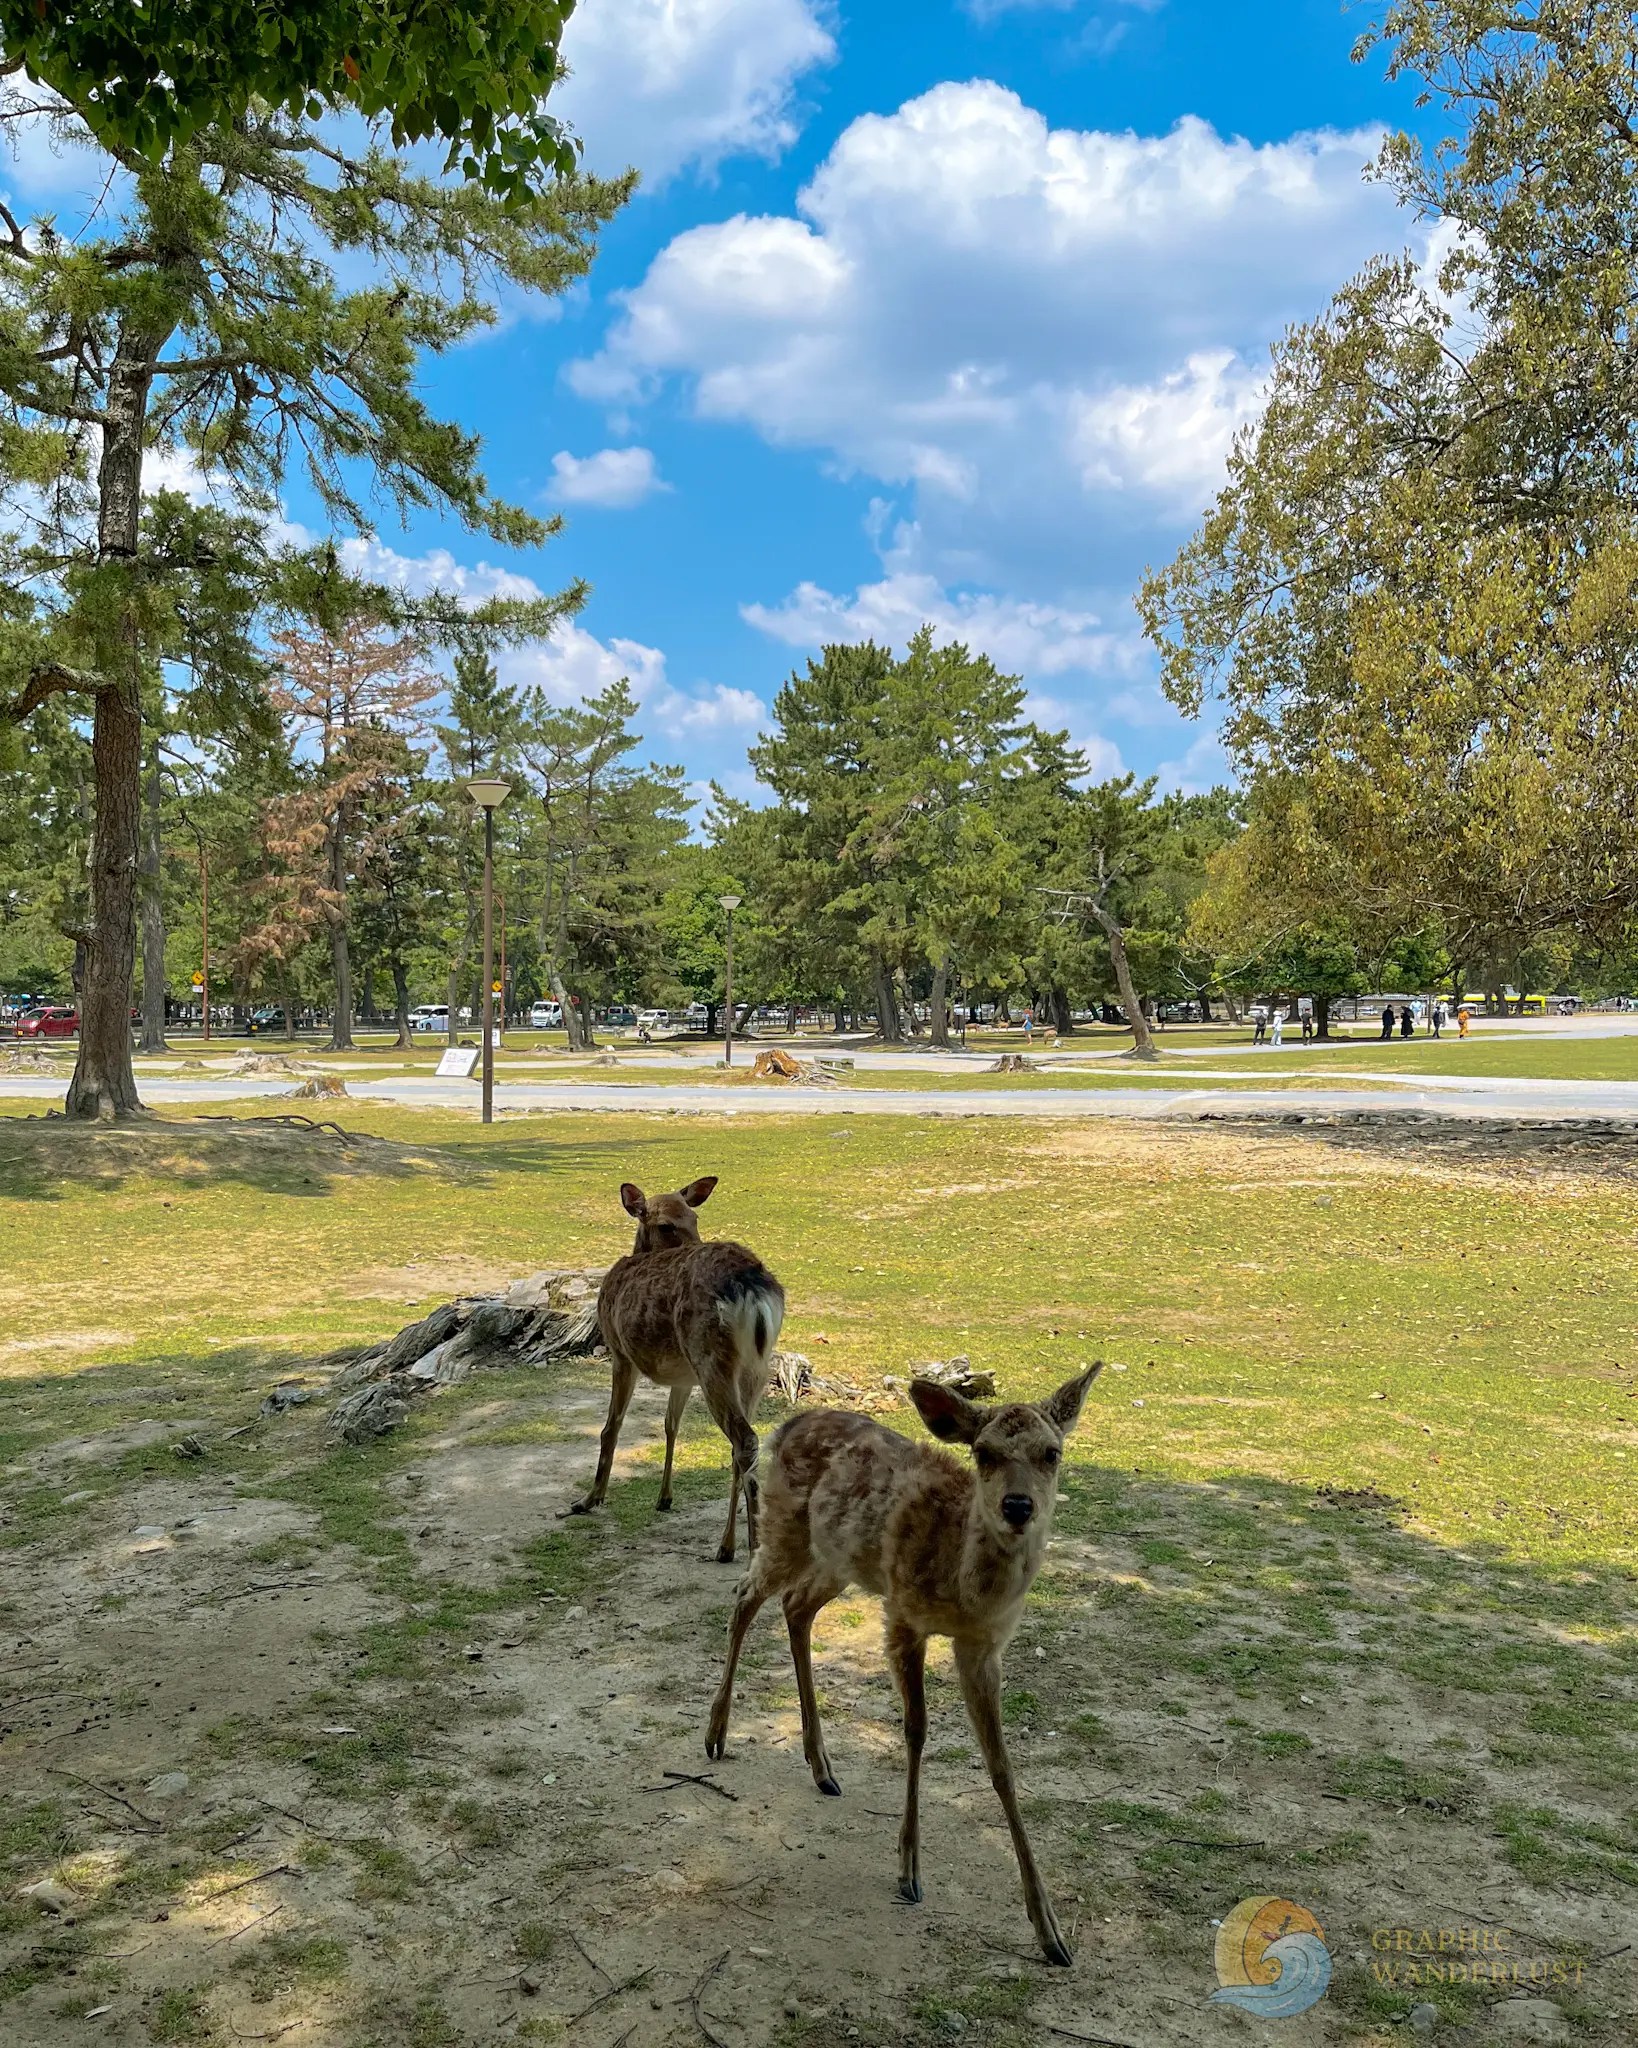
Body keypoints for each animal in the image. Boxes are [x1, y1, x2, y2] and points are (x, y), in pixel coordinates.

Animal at [570, 1176, 785, 1563]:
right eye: (668, 1225)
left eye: (694, 1219)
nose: (697, 1240)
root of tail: (753, 1287)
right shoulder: (683, 1376)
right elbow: (671, 1424)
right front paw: (664, 1497)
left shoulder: (620, 1352)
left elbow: (611, 1427)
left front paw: (589, 1498)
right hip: (754, 1368)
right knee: (741, 1444)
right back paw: (726, 1546)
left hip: (710, 1357)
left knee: (745, 1439)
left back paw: (751, 1551)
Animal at [705, 1362, 1102, 1966]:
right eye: (983, 1453)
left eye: (1051, 1453)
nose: (1017, 1507)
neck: (962, 1586)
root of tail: (788, 1423)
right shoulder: (904, 1614)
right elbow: (915, 1730)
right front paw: (909, 1871)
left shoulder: (982, 1646)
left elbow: (1002, 1765)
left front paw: (1050, 1932)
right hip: (785, 1530)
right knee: (746, 1595)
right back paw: (717, 1734)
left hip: (839, 1559)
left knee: (795, 1608)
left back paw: (822, 1767)